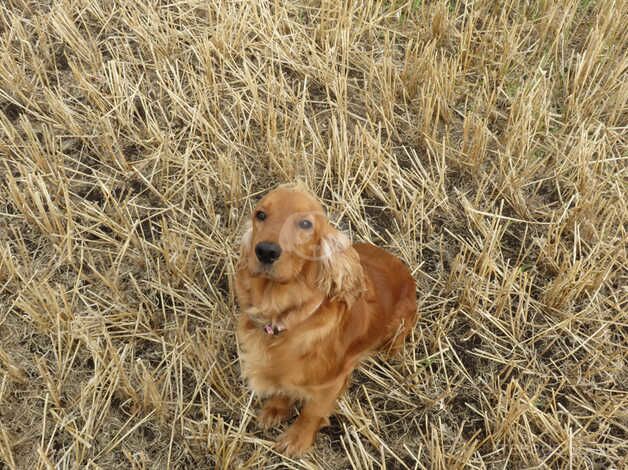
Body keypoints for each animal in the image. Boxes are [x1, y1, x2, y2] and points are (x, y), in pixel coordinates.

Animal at [236, 184, 418, 456]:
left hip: (401, 322)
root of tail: (405, 271)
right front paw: (276, 409)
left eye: (305, 223)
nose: (266, 251)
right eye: (260, 214)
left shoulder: (332, 382)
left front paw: (296, 440)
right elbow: (285, 387)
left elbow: (312, 412)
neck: (288, 316)